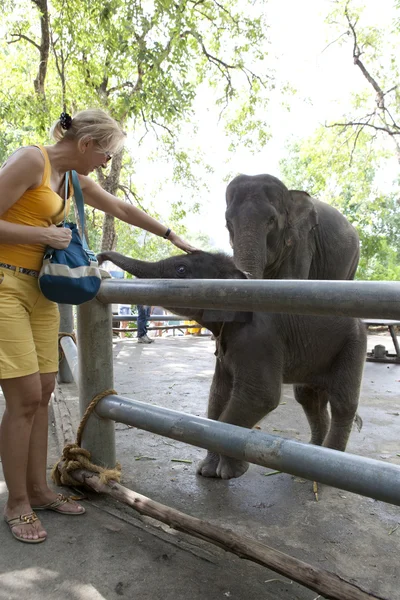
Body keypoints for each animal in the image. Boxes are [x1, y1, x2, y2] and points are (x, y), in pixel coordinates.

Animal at [97, 248, 366, 478]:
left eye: (181, 269)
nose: (99, 258)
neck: (240, 282)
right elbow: (218, 394)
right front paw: (207, 472)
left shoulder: (259, 341)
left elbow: (261, 397)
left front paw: (231, 473)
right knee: (308, 398)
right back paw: (314, 454)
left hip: (353, 346)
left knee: (342, 403)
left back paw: (327, 467)